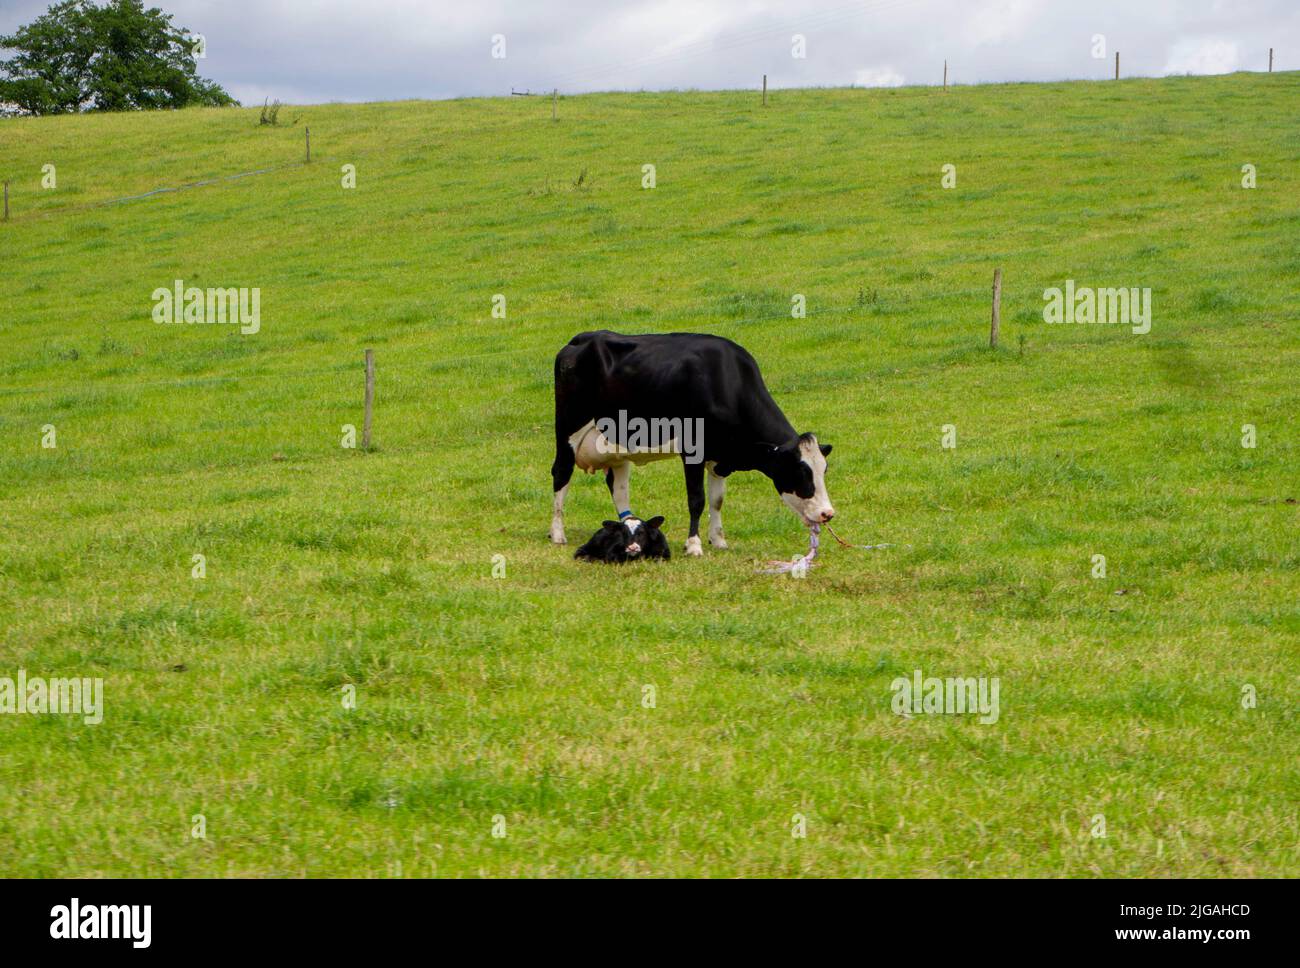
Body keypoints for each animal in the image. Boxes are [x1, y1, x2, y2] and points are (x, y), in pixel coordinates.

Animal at [546, 328, 832, 556]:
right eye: (800, 472)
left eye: (823, 470)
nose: (828, 513)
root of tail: (582, 338)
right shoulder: (693, 449)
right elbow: (697, 499)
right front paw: (694, 544)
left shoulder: (719, 456)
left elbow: (717, 500)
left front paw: (718, 540)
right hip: (569, 427)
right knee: (561, 473)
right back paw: (558, 533)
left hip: (615, 443)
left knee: (618, 487)